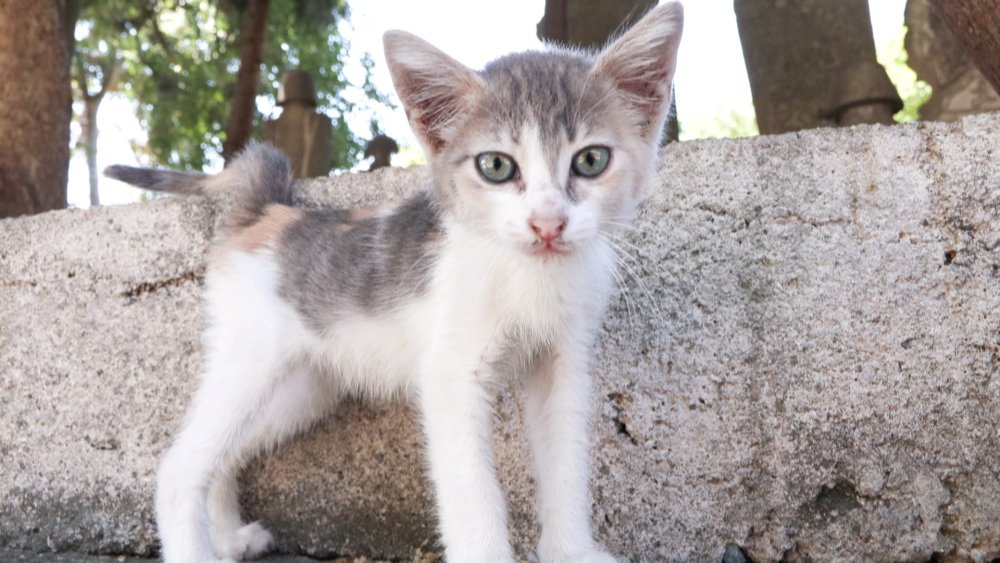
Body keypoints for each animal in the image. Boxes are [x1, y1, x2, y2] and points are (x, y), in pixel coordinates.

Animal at [109, 5, 684, 563]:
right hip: (250, 358)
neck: (528, 278)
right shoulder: (450, 376)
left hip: (303, 385)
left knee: (225, 454)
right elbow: (471, 494)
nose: (548, 224)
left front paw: (573, 552)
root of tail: (269, 210)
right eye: (496, 166)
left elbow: (566, 466)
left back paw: (229, 539)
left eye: (591, 160)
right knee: (180, 466)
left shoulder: (561, 364)